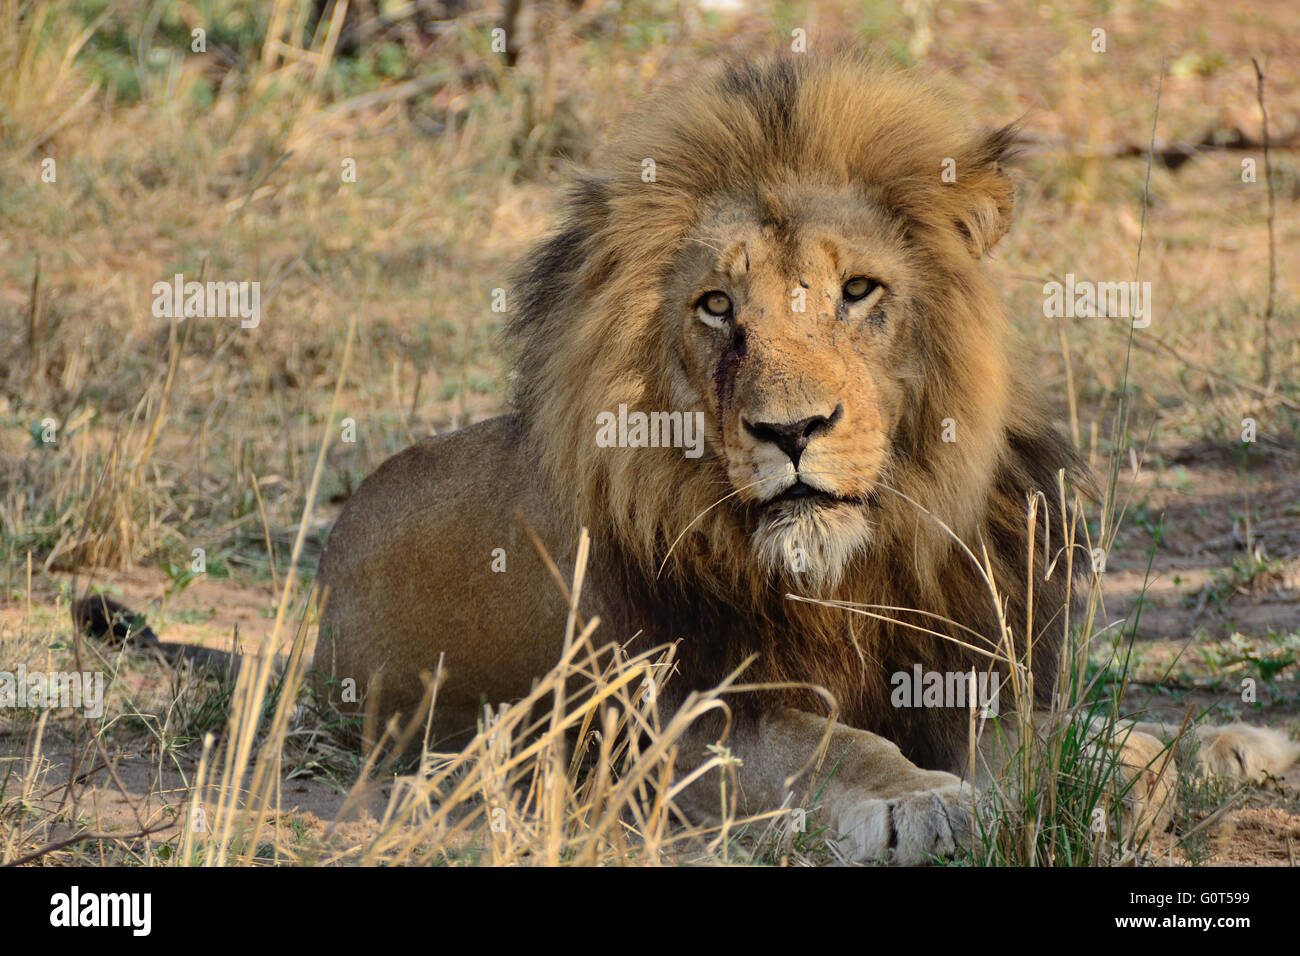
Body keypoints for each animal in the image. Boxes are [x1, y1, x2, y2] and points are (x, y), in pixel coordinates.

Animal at [317, 48, 1300, 863]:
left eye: (857, 291)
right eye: (718, 306)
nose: (791, 432)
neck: (850, 575)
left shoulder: (974, 671)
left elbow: (1053, 736)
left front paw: (1123, 778)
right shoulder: (674, 719)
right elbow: (826, 744)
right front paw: (918, 801)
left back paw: (1231, 744)